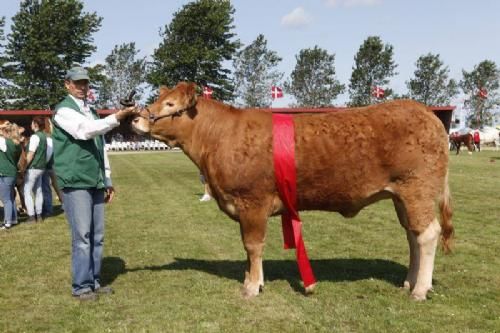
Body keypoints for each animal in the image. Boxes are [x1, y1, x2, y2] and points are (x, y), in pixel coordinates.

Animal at [132, 81, 454, 300]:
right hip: (403, 197)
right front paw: (253, 280)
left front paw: (251, 286)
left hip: (417, 189)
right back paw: (409, 281)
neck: (218, 138)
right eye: (159, 98)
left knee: (427, 234)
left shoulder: (252, 202)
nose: (136, 118)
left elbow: (253, 245)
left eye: (171, 105)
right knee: (413, 236)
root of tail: (427, 113)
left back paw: (420, 289)